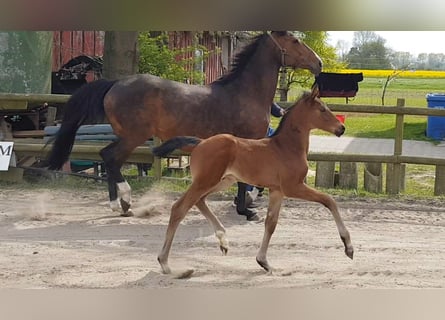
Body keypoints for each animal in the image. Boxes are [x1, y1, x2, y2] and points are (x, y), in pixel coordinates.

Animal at [46, 31, 320, 216]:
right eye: (295, 41)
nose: (318, 62)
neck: (245, 93)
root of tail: (114, 84)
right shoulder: (248, 141)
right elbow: (244, 181)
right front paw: (246, 210)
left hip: (127, 136)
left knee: (108, 158)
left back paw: (119, 205)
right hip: (134, 136)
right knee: (110, 158)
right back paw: (125, 200)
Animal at [151, 85, 352, 276]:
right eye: (322, 109)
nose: (341, 128)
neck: (286, 147)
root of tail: (200, 143)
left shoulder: (277, 190)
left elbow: (271, 224)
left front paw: (263, 262)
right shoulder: (293, 186)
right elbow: (329, 201)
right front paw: (348, 247)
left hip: (221, 181)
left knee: (199, 201)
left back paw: (223, 241)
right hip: (206, 181)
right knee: (179, 208)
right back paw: (165, 263)